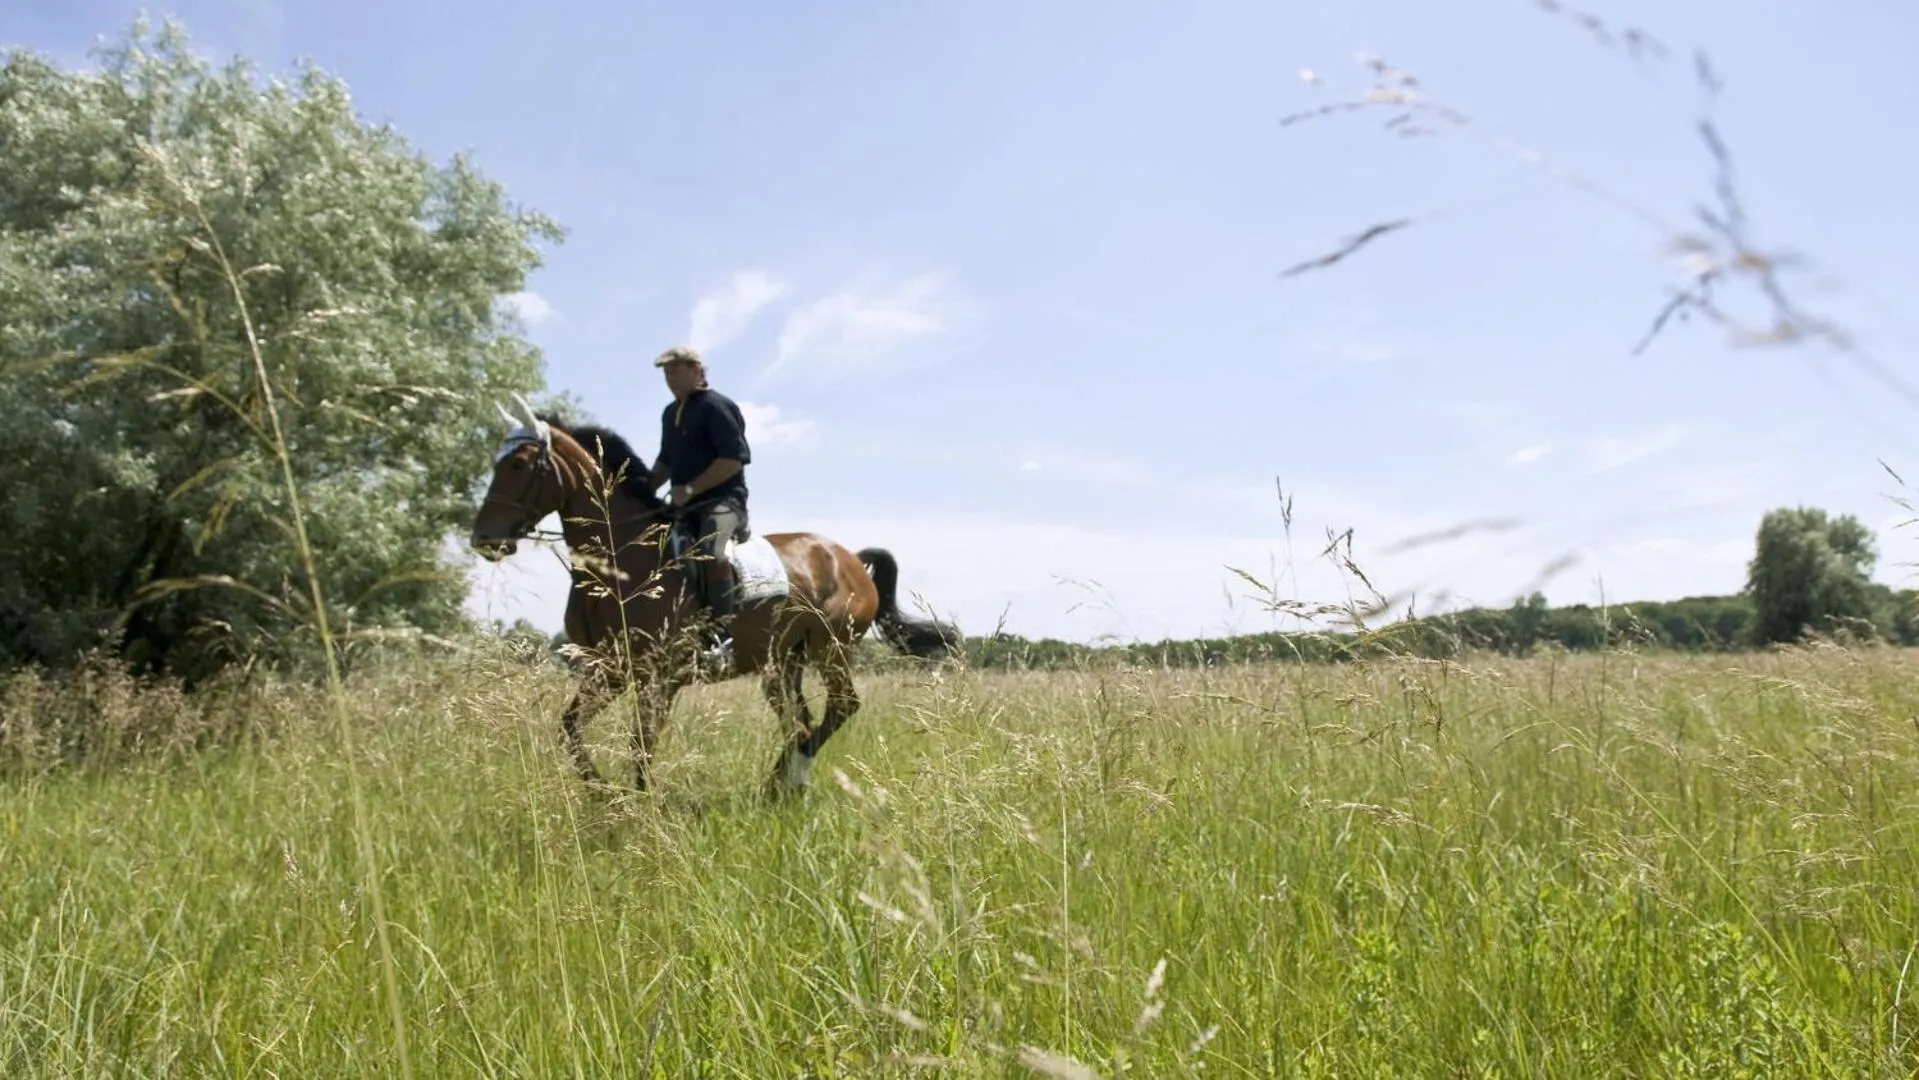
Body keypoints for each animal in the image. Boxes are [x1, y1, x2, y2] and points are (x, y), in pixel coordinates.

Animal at [467, 395, 961, 797]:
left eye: (518, 465)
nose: (483, 539)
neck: (621, 555)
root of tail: (850, 560)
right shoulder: (608, 668)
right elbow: (569, 727)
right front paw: (603, 794)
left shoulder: (658, 677)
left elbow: (641, 744)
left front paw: (641, 811)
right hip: (781, 662)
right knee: (799, 723)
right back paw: (779, 785)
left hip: (831, 648)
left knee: (840, 708)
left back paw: (788, 780)